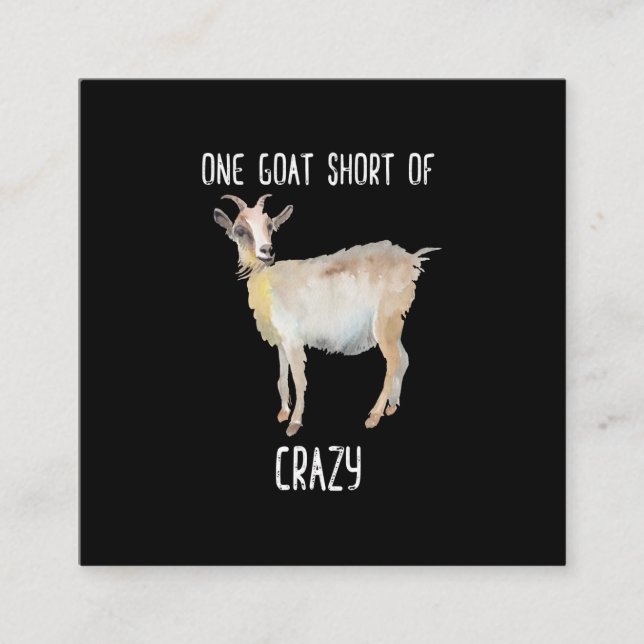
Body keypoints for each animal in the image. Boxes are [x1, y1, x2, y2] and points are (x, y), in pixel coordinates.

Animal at [213, 194, 439, 437]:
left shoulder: (293, 340)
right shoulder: (281, 341)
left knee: (394, 361)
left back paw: (374, 415)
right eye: (239, 230)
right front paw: (283, 413)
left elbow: (299, 379)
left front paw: (294, 422)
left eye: (270, 226)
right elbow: (282, 377)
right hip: (394, 326)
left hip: (385, 323)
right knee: (404, 359)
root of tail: (412, 261)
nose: (267, 251)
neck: (269, 282)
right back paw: (392, 406)